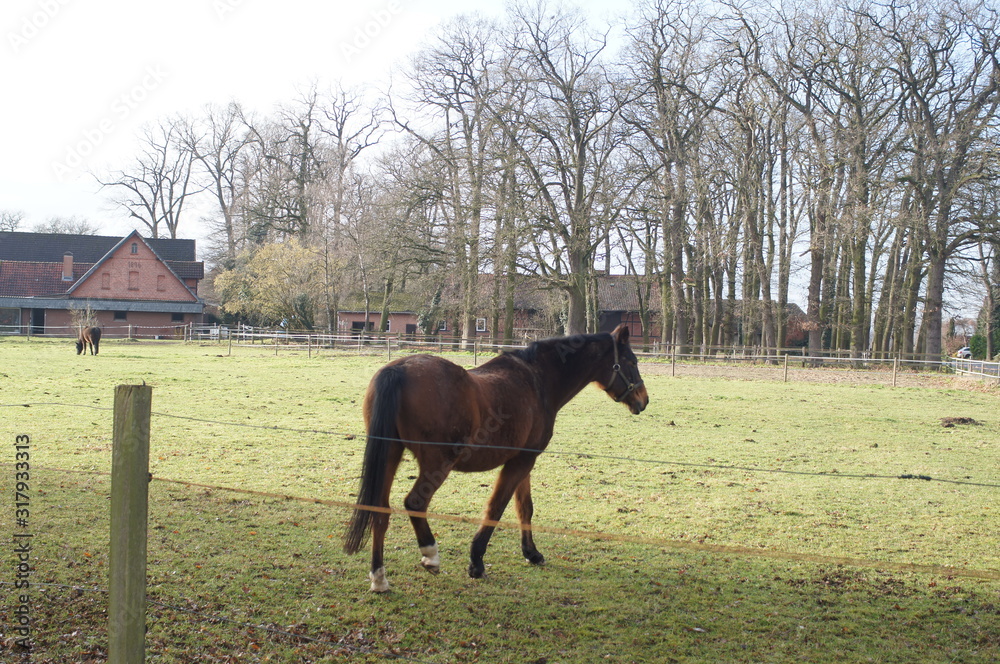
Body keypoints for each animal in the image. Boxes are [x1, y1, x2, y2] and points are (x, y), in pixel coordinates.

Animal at [343, 323, 649, 592]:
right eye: (631, 361)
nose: (643, 400)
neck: (538, 381)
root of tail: (398, 370)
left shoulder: (522, 461)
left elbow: (525, 508)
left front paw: (531, 552)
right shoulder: (521, 462)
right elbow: (496, 508)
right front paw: (476, 562)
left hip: (390, 456)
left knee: (380, 512)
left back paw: (379, 578)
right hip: (436, 464)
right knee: (415, 503)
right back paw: (430, 554)